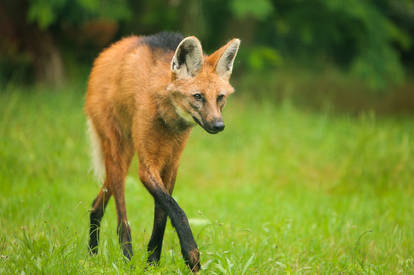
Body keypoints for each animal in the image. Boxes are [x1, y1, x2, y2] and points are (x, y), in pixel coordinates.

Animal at [84, 32, 239, 274]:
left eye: (220, 97)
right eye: (198, 96)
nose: (218, 125)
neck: (167, 116)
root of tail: (107, 52)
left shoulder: (170, 165)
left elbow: (162, 214)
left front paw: (153, 261)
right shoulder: (147, 167)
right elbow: (177, 211)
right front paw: (191, 255)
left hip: (125, 156)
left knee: (96, 205)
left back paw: (91, 255)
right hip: (118, 153)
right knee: (121, 219)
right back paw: (127, 258)